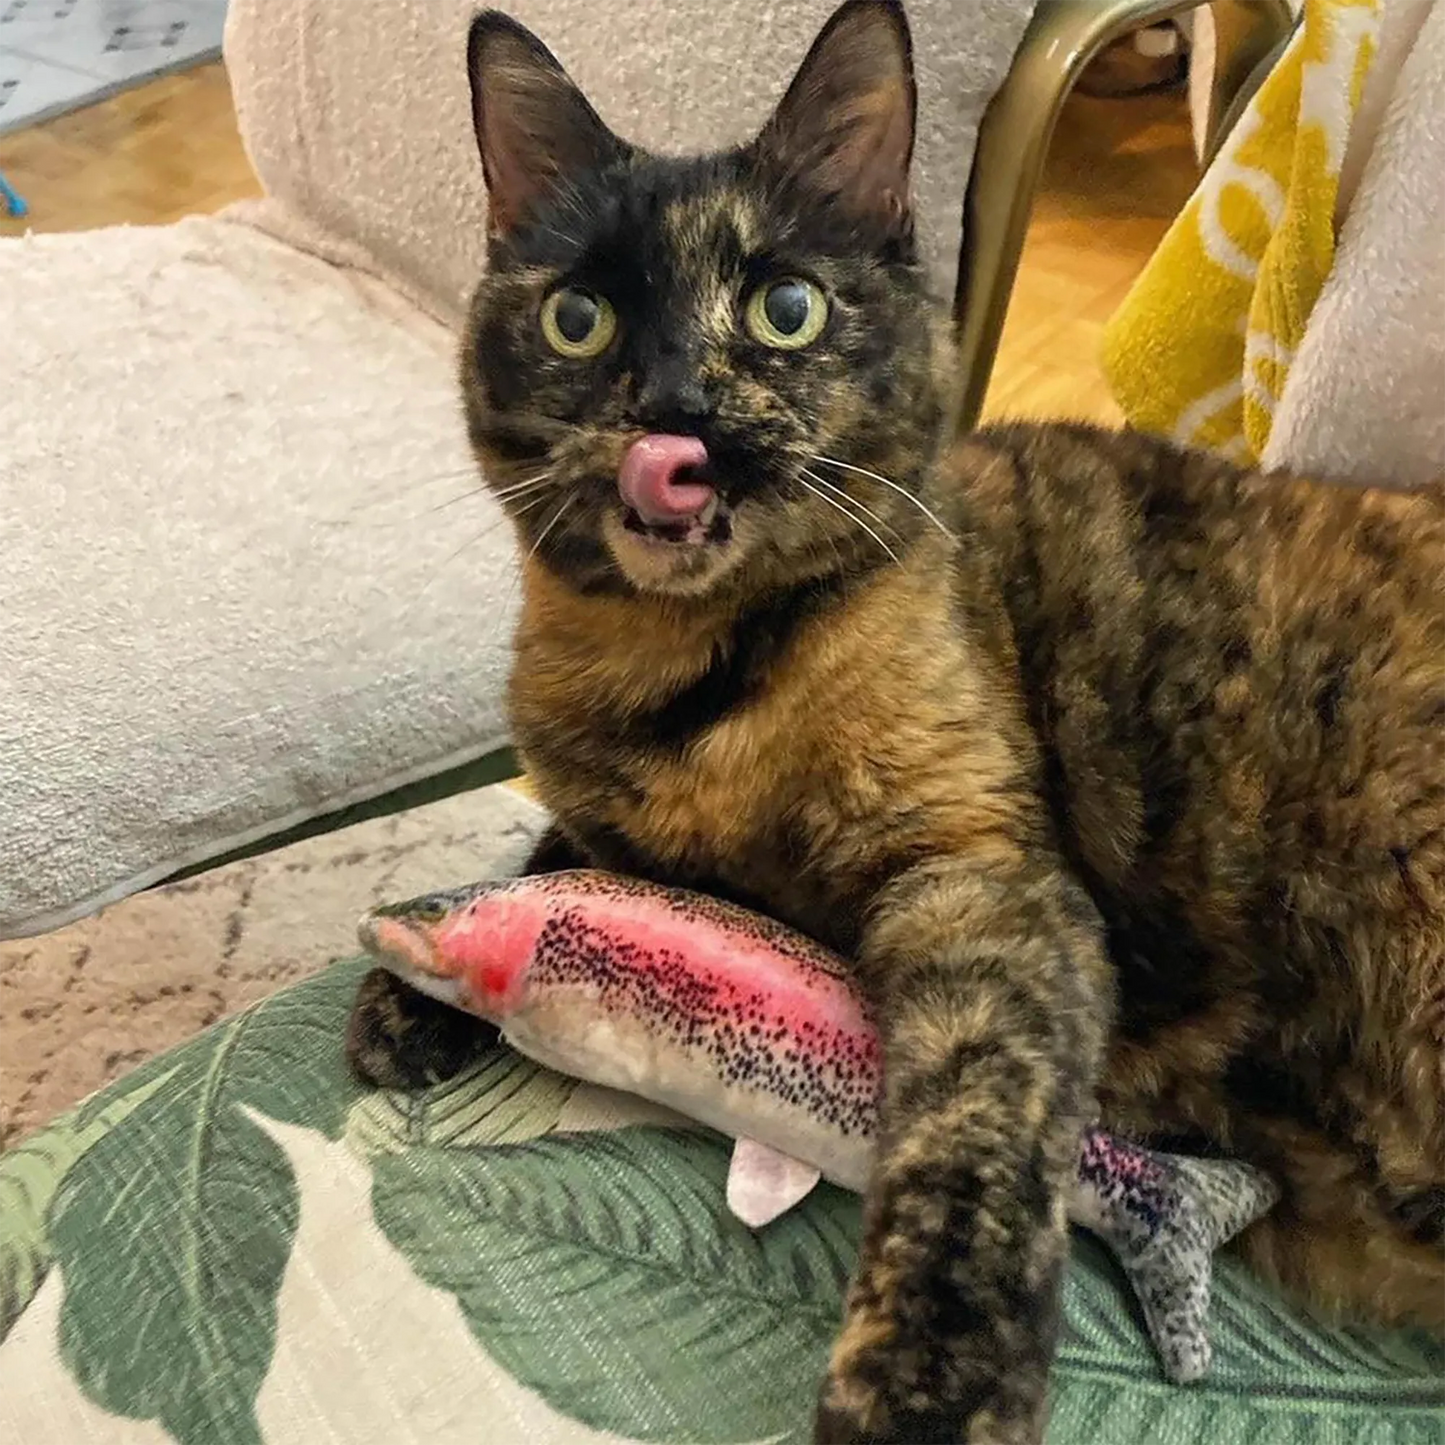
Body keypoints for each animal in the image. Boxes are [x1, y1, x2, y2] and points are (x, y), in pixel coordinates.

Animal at [346, 5, 1445, 1439]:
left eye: (786, 306)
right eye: (578, 318)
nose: (675, 413)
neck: (686, 677)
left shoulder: (978, 880)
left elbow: (969, 1144)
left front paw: (927, 1381)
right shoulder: (609, 812)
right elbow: (558, 852)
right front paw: (409, 981)